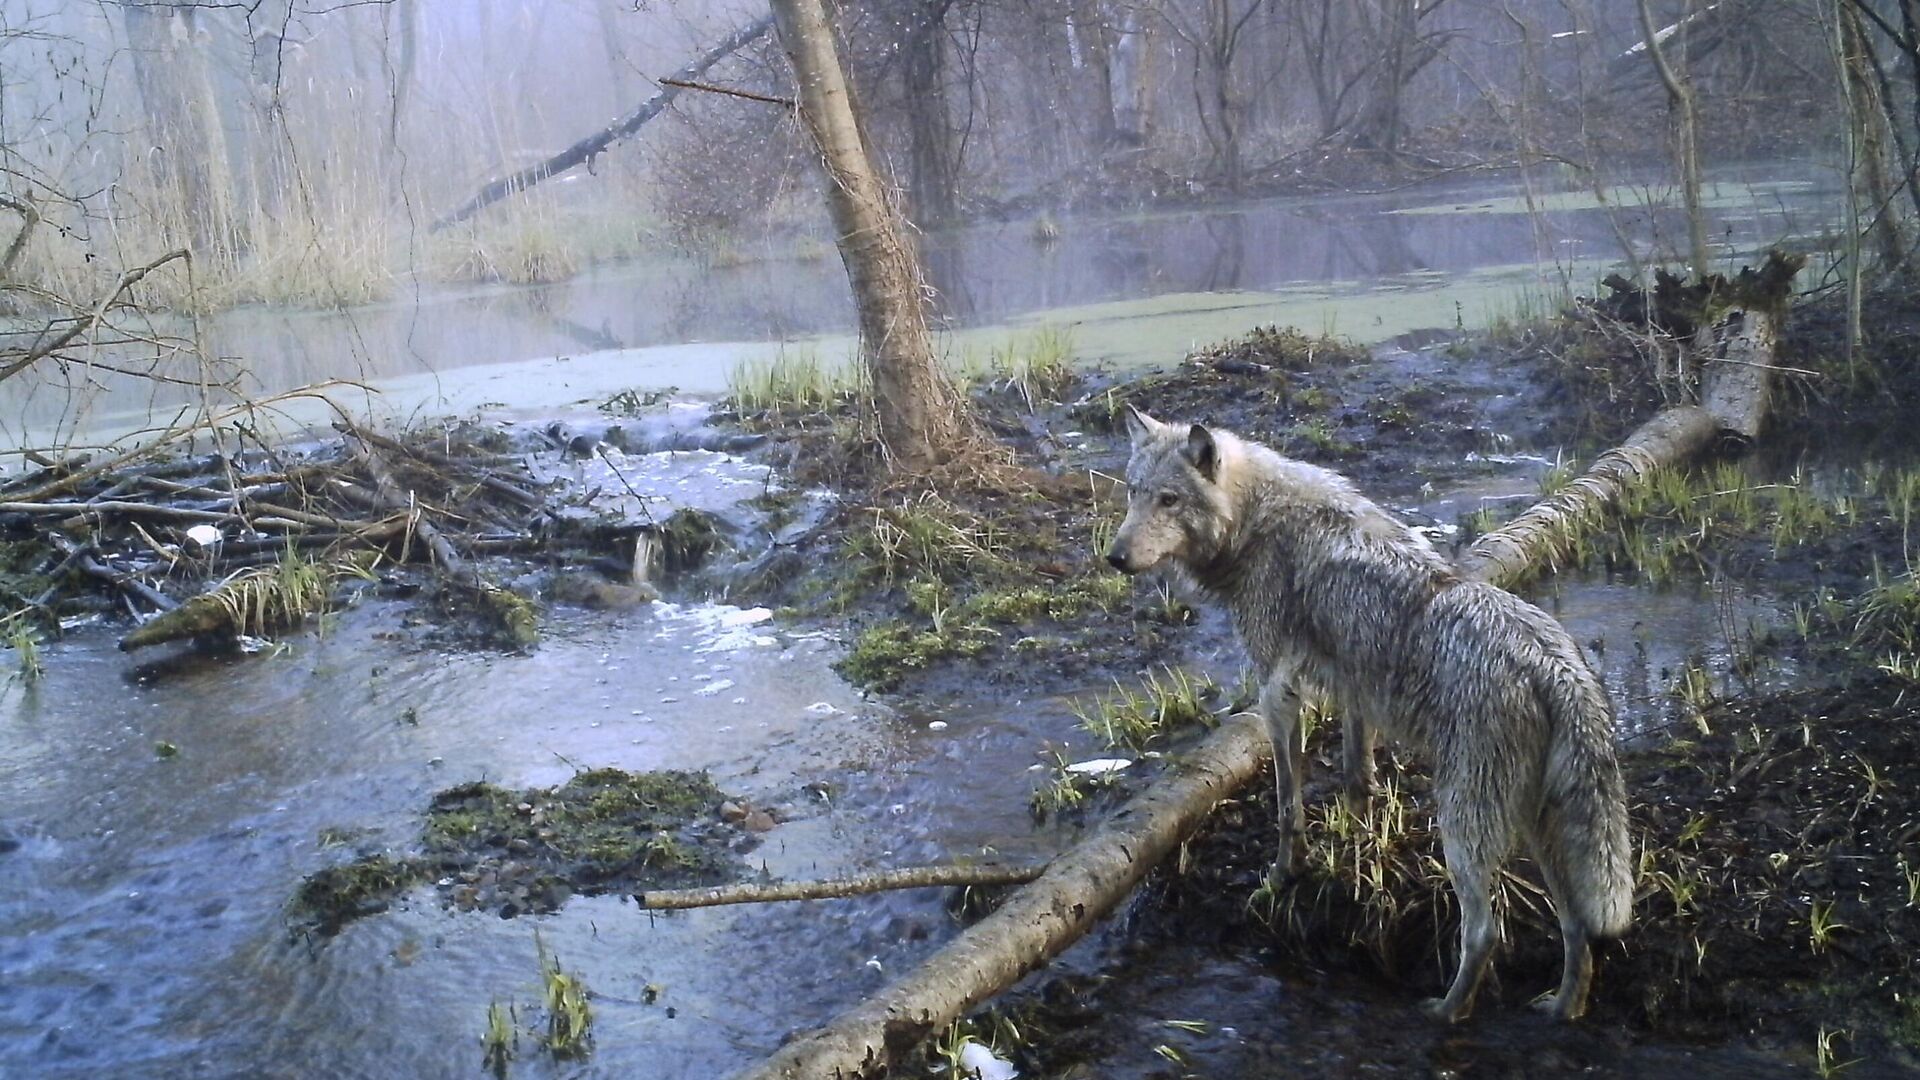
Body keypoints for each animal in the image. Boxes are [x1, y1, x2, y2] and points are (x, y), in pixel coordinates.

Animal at [1106, 405, 1632, 1022]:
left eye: (1169, 500)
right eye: (1134, 493)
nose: (1115, 557)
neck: (1257, 520)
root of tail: (1556, 666)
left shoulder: (1278, 693)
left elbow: (1287, 807)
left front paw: (1283, 878)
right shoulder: (1354, 690)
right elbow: (1357, 779)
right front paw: (1354, 853)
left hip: (1464, 830)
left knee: (1484, 933)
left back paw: (1445, 1013)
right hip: (1536, 828)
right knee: (1577, 928)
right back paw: (1562, 1008)